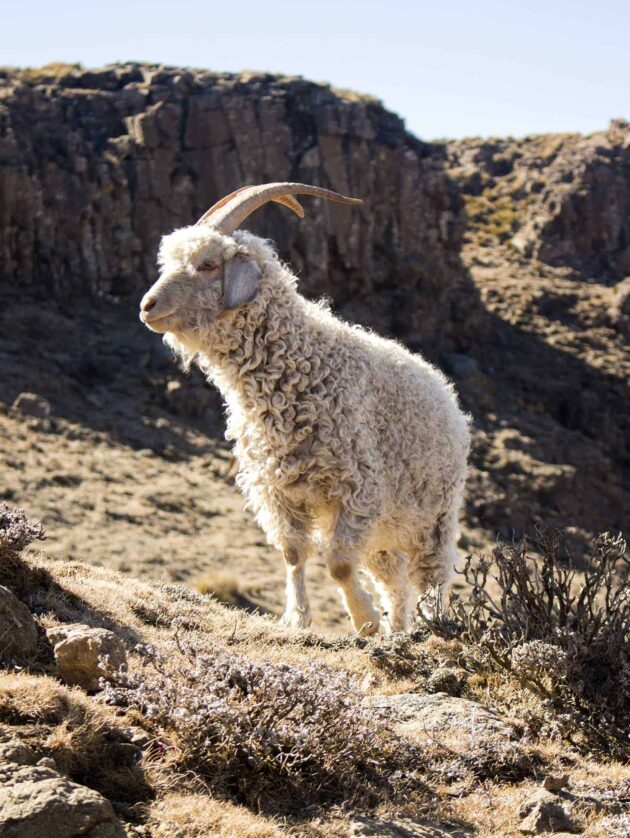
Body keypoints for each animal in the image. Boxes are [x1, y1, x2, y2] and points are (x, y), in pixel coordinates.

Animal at [141, 180, 472, 632]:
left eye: (207, 264)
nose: (147, 306)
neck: (304, 366)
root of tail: (448, 396)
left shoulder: (358, 488)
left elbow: (338, 564)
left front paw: (364, 620)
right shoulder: (278, 490)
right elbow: (294, 554)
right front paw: (297, 618)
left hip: (435, 517)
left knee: (430, 578)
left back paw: (429, 627)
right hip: (383, 535)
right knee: (396, 584)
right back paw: (397, 631)